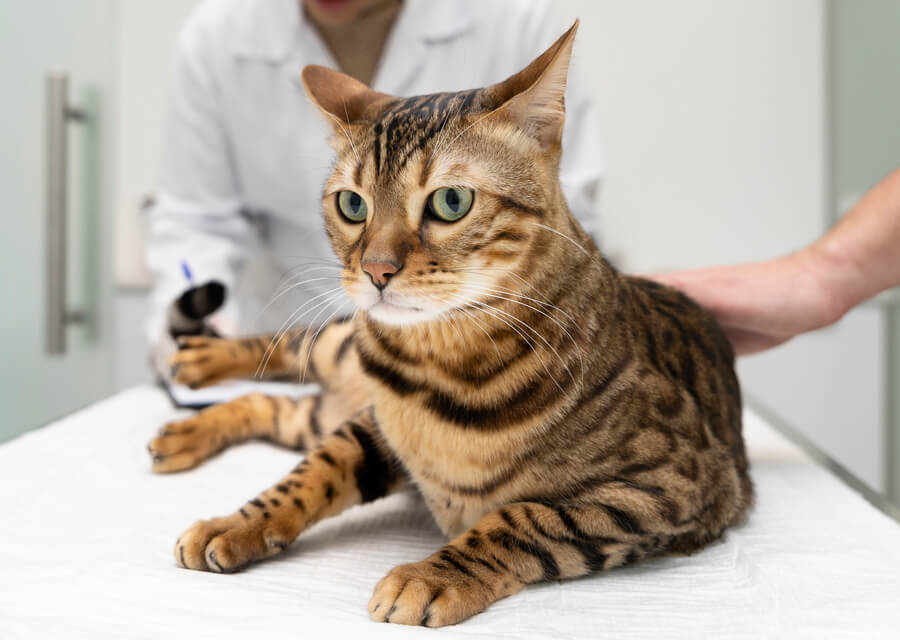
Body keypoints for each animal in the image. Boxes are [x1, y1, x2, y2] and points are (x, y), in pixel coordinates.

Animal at [149, 23, 752, 624]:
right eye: (352, 205)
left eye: (451, 200)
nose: (376, 269)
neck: (437, 367)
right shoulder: (372, 427)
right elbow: (306, 477)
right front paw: (237, 523)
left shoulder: (670, 486)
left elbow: (524, 520)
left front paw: (432, 575)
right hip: (334, 348)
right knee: (282, 356)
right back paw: (196, 372)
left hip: (323, 408)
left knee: (278, 406)